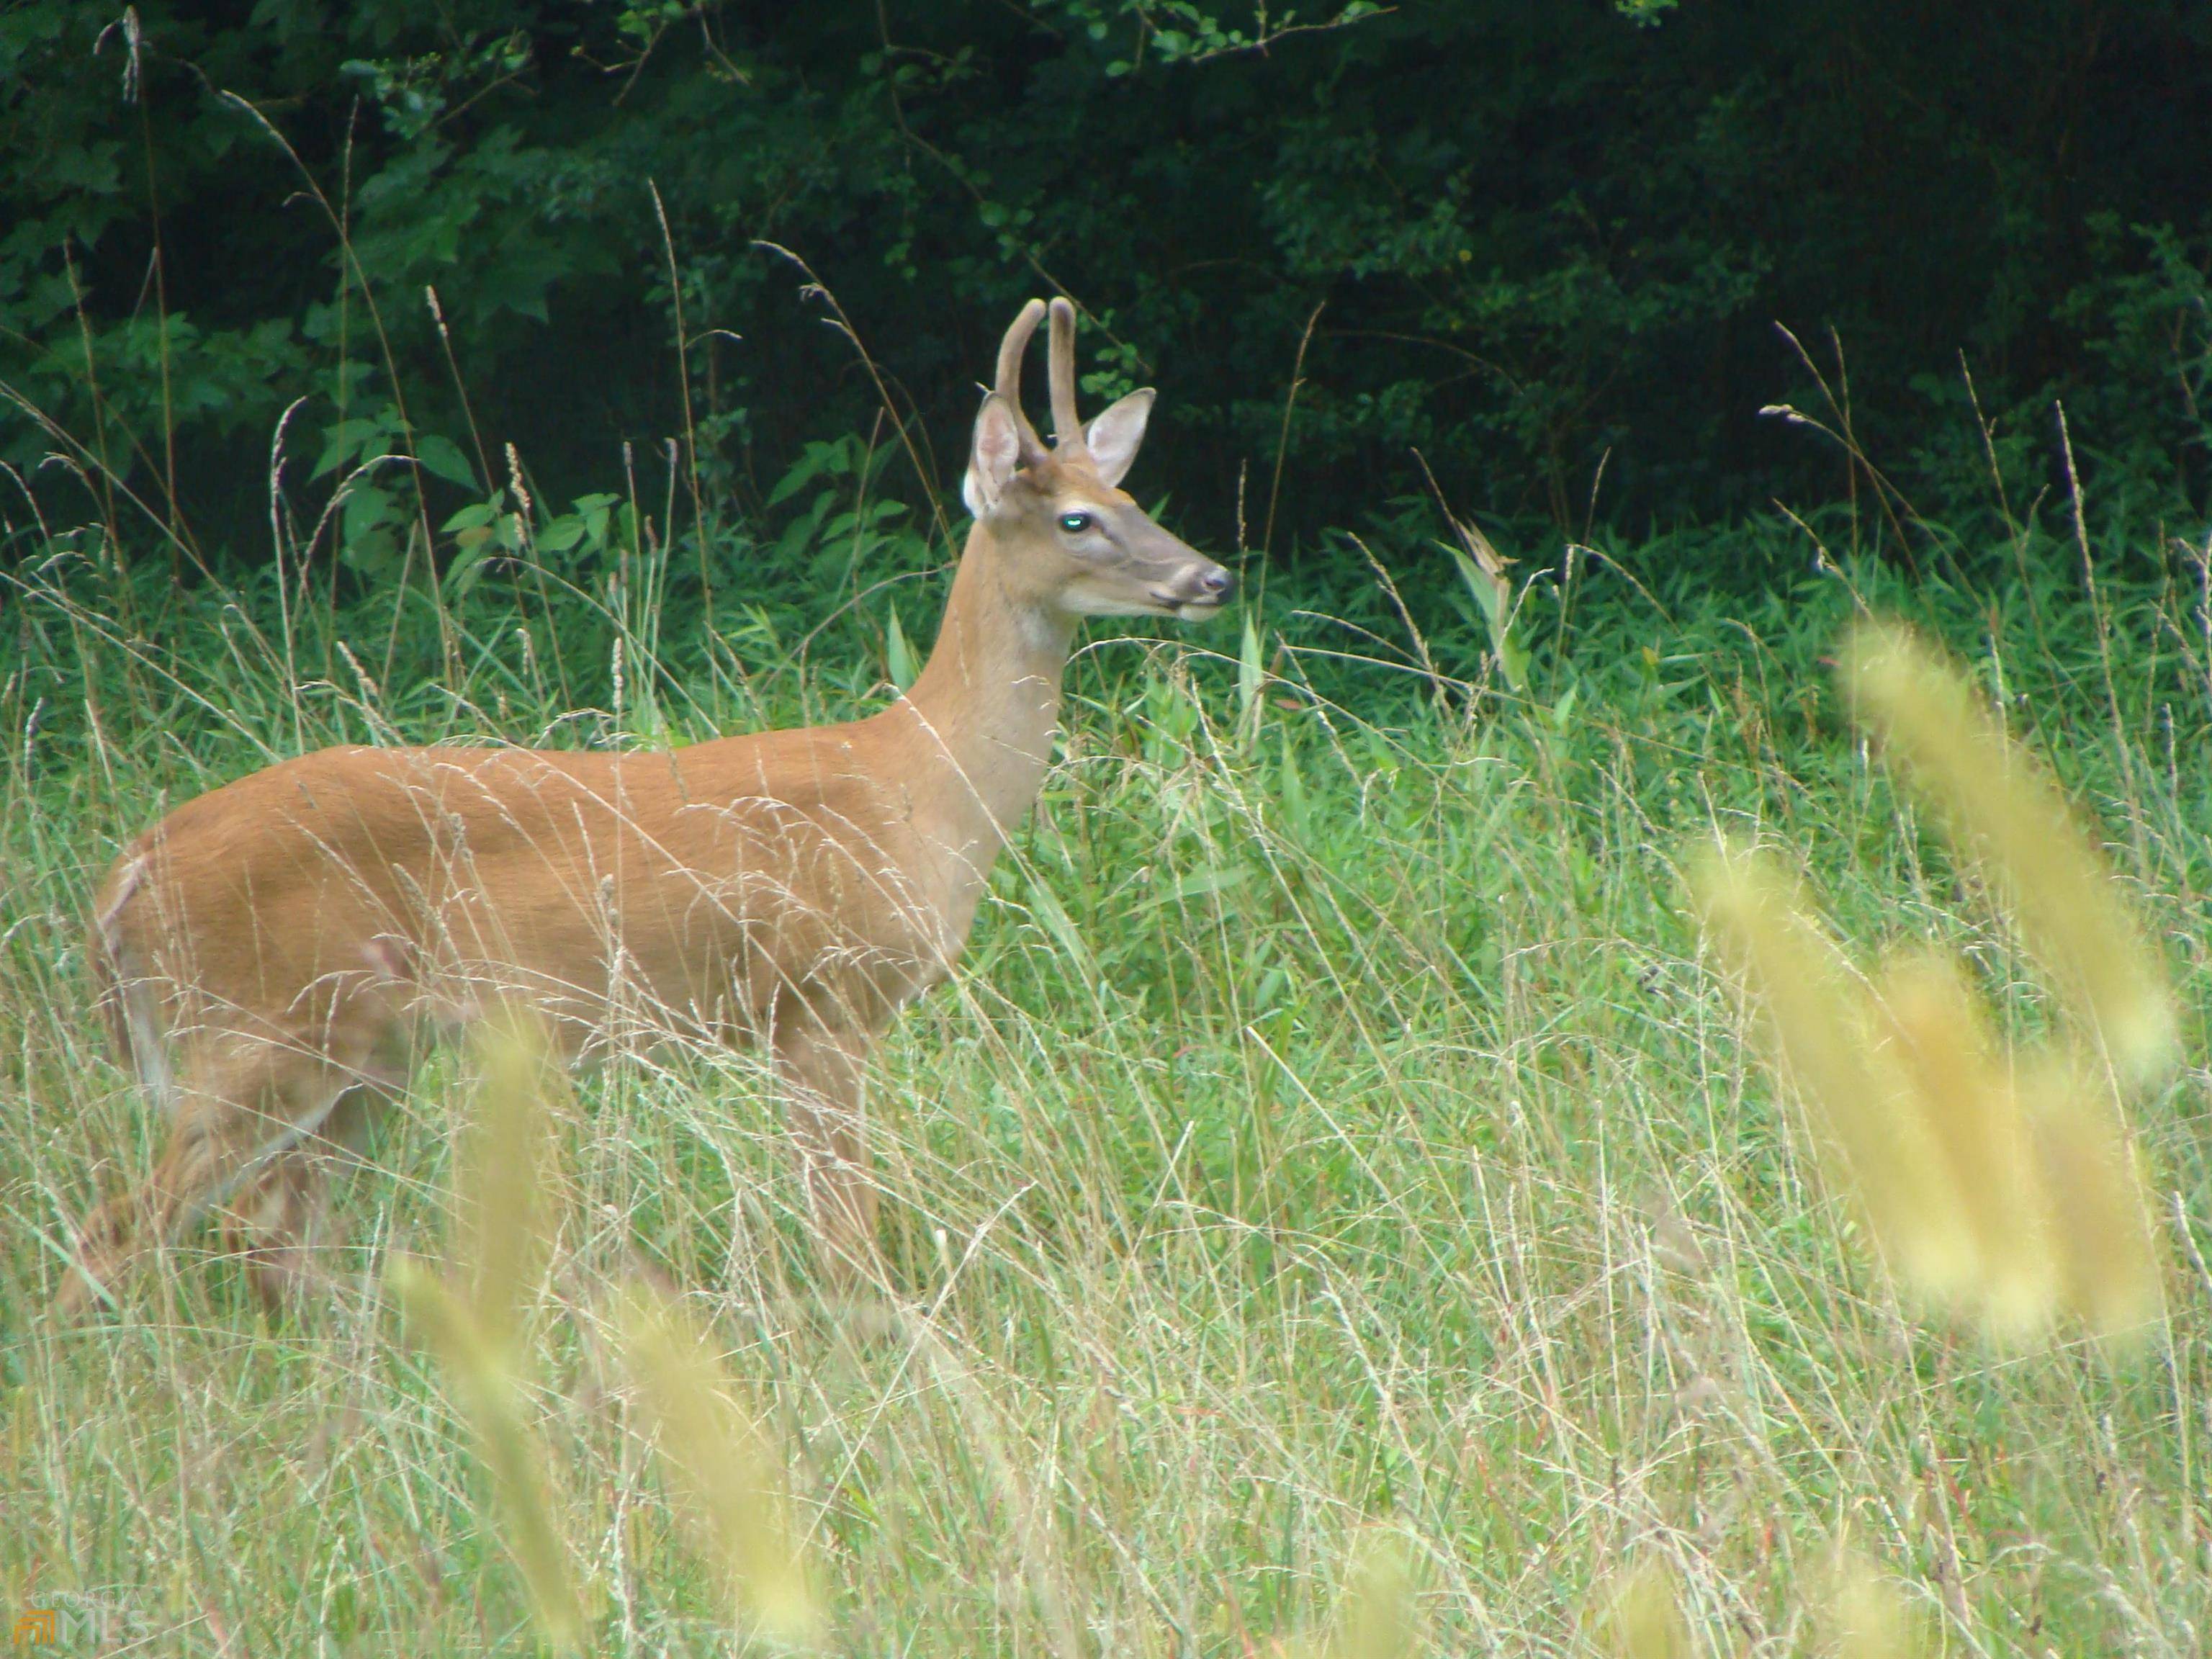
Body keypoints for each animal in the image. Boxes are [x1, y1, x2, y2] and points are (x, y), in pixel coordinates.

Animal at [55, 292, 1230, 1318]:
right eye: (1077, 519)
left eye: (1137, 501)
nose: (1210, 579)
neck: (922, 790)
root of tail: (131, 871)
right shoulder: (820, 999)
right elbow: (847, 1237)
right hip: (260, 1028)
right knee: (125, 1231)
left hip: (368, 1052)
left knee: (273, 1236)